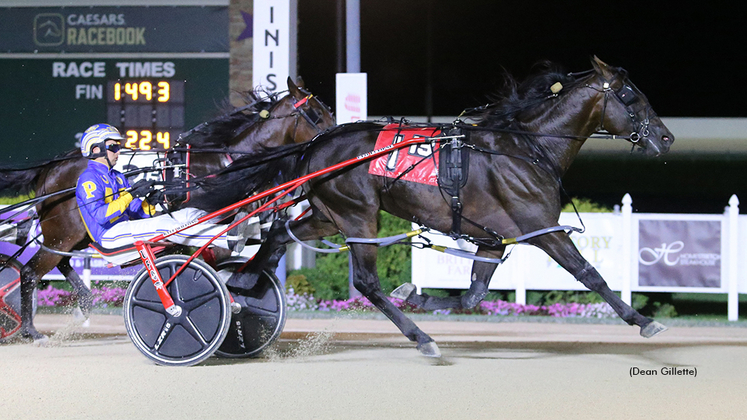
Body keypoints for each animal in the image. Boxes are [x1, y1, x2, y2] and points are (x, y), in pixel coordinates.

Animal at [0, 77, 334, 342]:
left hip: (74, 237)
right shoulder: (200, 226)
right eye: (316, 114)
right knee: (29, 273)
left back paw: (82, 303)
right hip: (62, 234)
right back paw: (31, 331)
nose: (337, 135)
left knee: (62, 263)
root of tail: (51, 167)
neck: (221, 165)